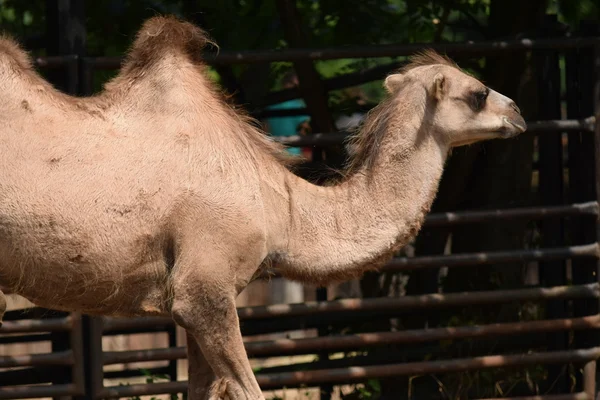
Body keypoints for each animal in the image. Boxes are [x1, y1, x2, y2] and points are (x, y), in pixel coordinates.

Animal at [0, 15, 524, 400]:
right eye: (477, 93)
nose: (518, 112)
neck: (281, 209)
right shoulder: (203, 287)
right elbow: (248, 390)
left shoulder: (196, 299)